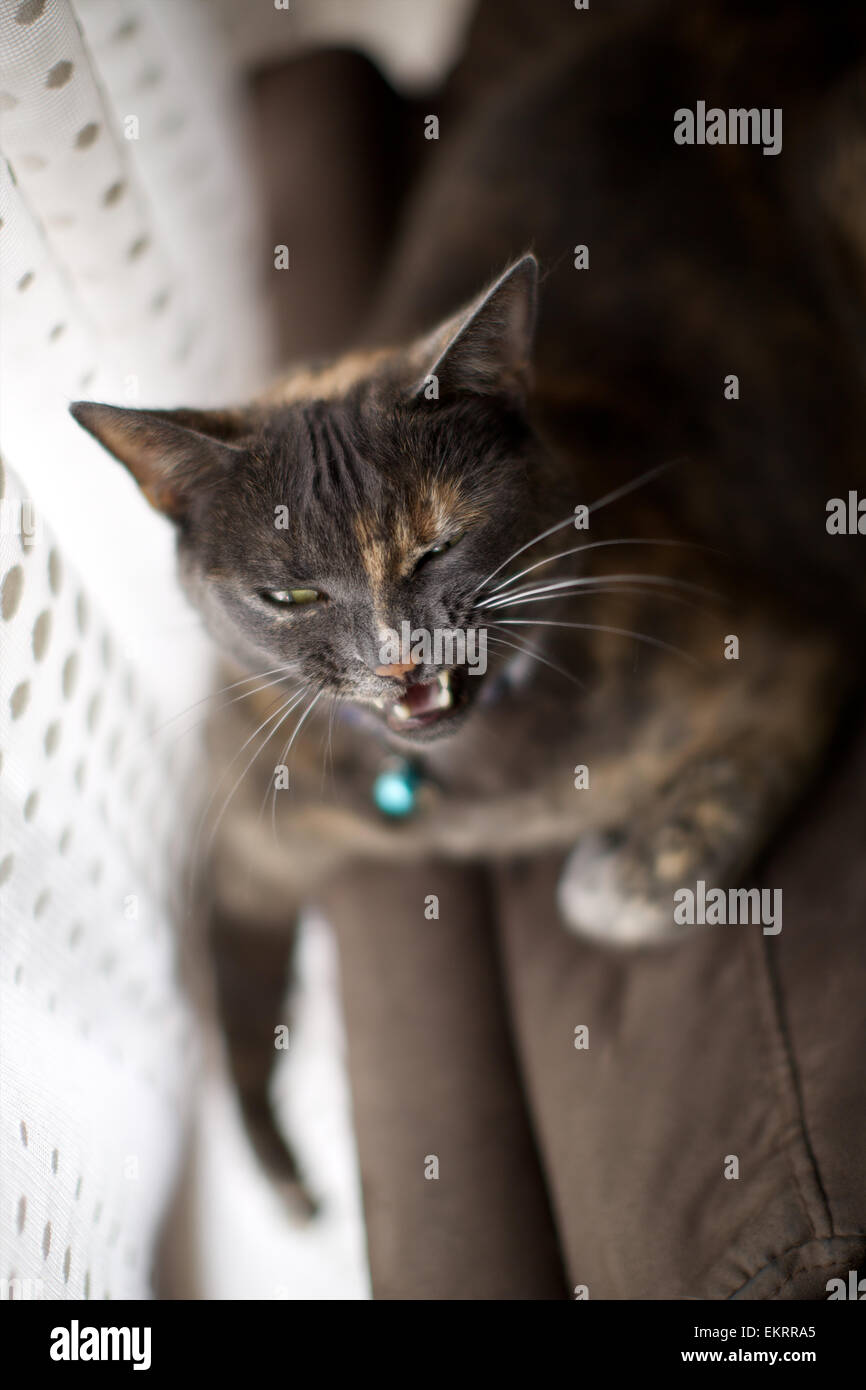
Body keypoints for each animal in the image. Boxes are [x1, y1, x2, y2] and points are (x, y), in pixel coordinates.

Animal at [71, 0, 866, 1212]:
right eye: (288, 591)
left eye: (440, 542)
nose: (401, 653)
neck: (451, 802)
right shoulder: (245, 811)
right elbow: (221, 985)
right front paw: (285, 1181)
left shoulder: (788, 653)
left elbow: (632, 884)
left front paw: (615, 865)